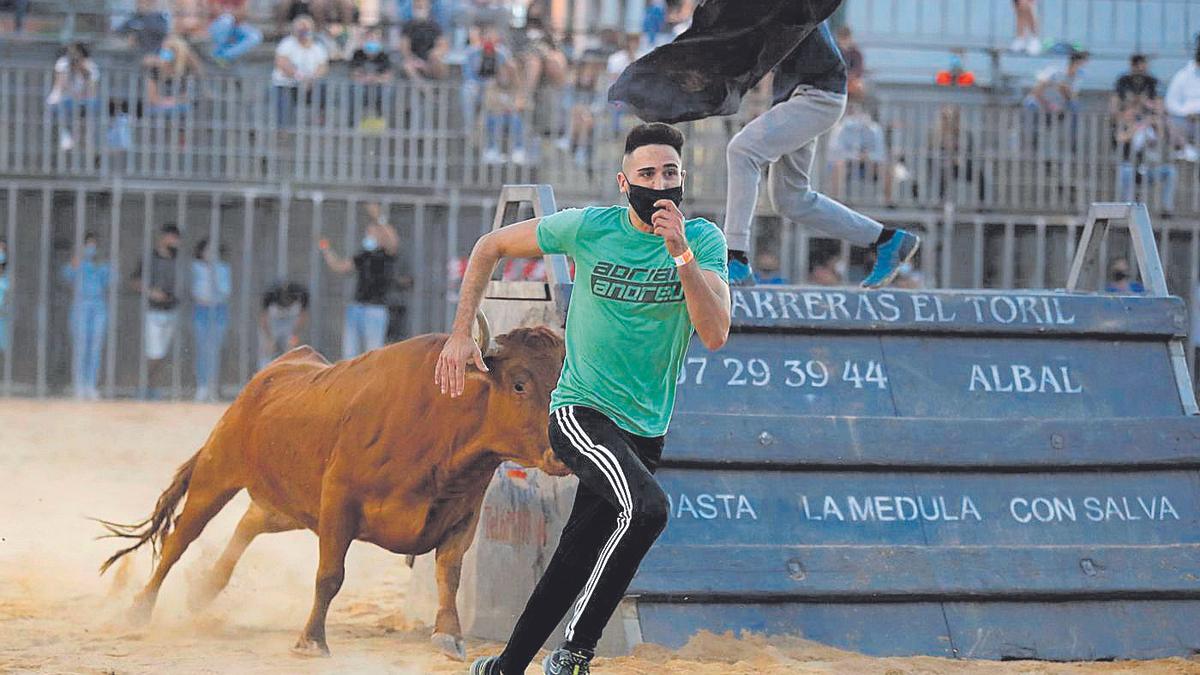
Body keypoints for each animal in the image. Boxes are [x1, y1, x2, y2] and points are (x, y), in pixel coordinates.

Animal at [97, 326, 566, 658]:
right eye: (520, 384)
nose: (559, 453)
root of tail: (270, 374)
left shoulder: (462, 516)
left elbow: (448, 574)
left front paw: (449, 637)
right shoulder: (338, 504)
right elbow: (330, 575)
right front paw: (311, 641)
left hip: (288, 504)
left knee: (251, 521)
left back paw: (204, 590)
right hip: (217, 472)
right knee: (180, 538)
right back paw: (139, 609)